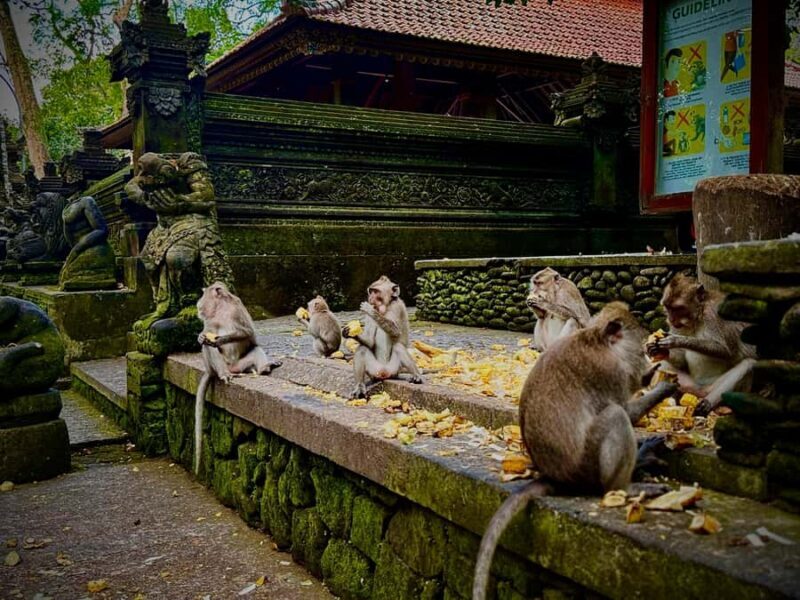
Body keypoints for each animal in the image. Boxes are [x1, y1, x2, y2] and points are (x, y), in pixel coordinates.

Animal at [194, 282, 281, 474]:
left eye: (203, 299)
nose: (199, 310)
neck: (221, 309)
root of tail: (232, 367)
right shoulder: (210, 322)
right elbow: (206, 337)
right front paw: (202, 337)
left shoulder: (237, 310)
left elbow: (248, 334)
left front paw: (221, 339)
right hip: (217, 367)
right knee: (209, 348)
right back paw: (224, 374)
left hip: (242, 364)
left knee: (255, 348)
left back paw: (264, 368)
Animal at [472, 302, 677, 600]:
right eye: (640, 352)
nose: (646, 371)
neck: (597, 340)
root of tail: (557, 478)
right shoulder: (611, 374)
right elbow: (626, 411)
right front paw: (666, 386)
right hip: (588, 467)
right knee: (615, 416)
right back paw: (625, 486)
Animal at [646, 273, 756, 415]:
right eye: (668, 308)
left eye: (678, 308)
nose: (670, 319)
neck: (698, 316)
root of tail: (700, 391)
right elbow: (680, 360)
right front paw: (658, 350)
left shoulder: (714, 314)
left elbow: (725, 350)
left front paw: (676, 340)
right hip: (690, 386)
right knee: (661, 366)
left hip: (713, 388)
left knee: (749, 365)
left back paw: (708, 403)